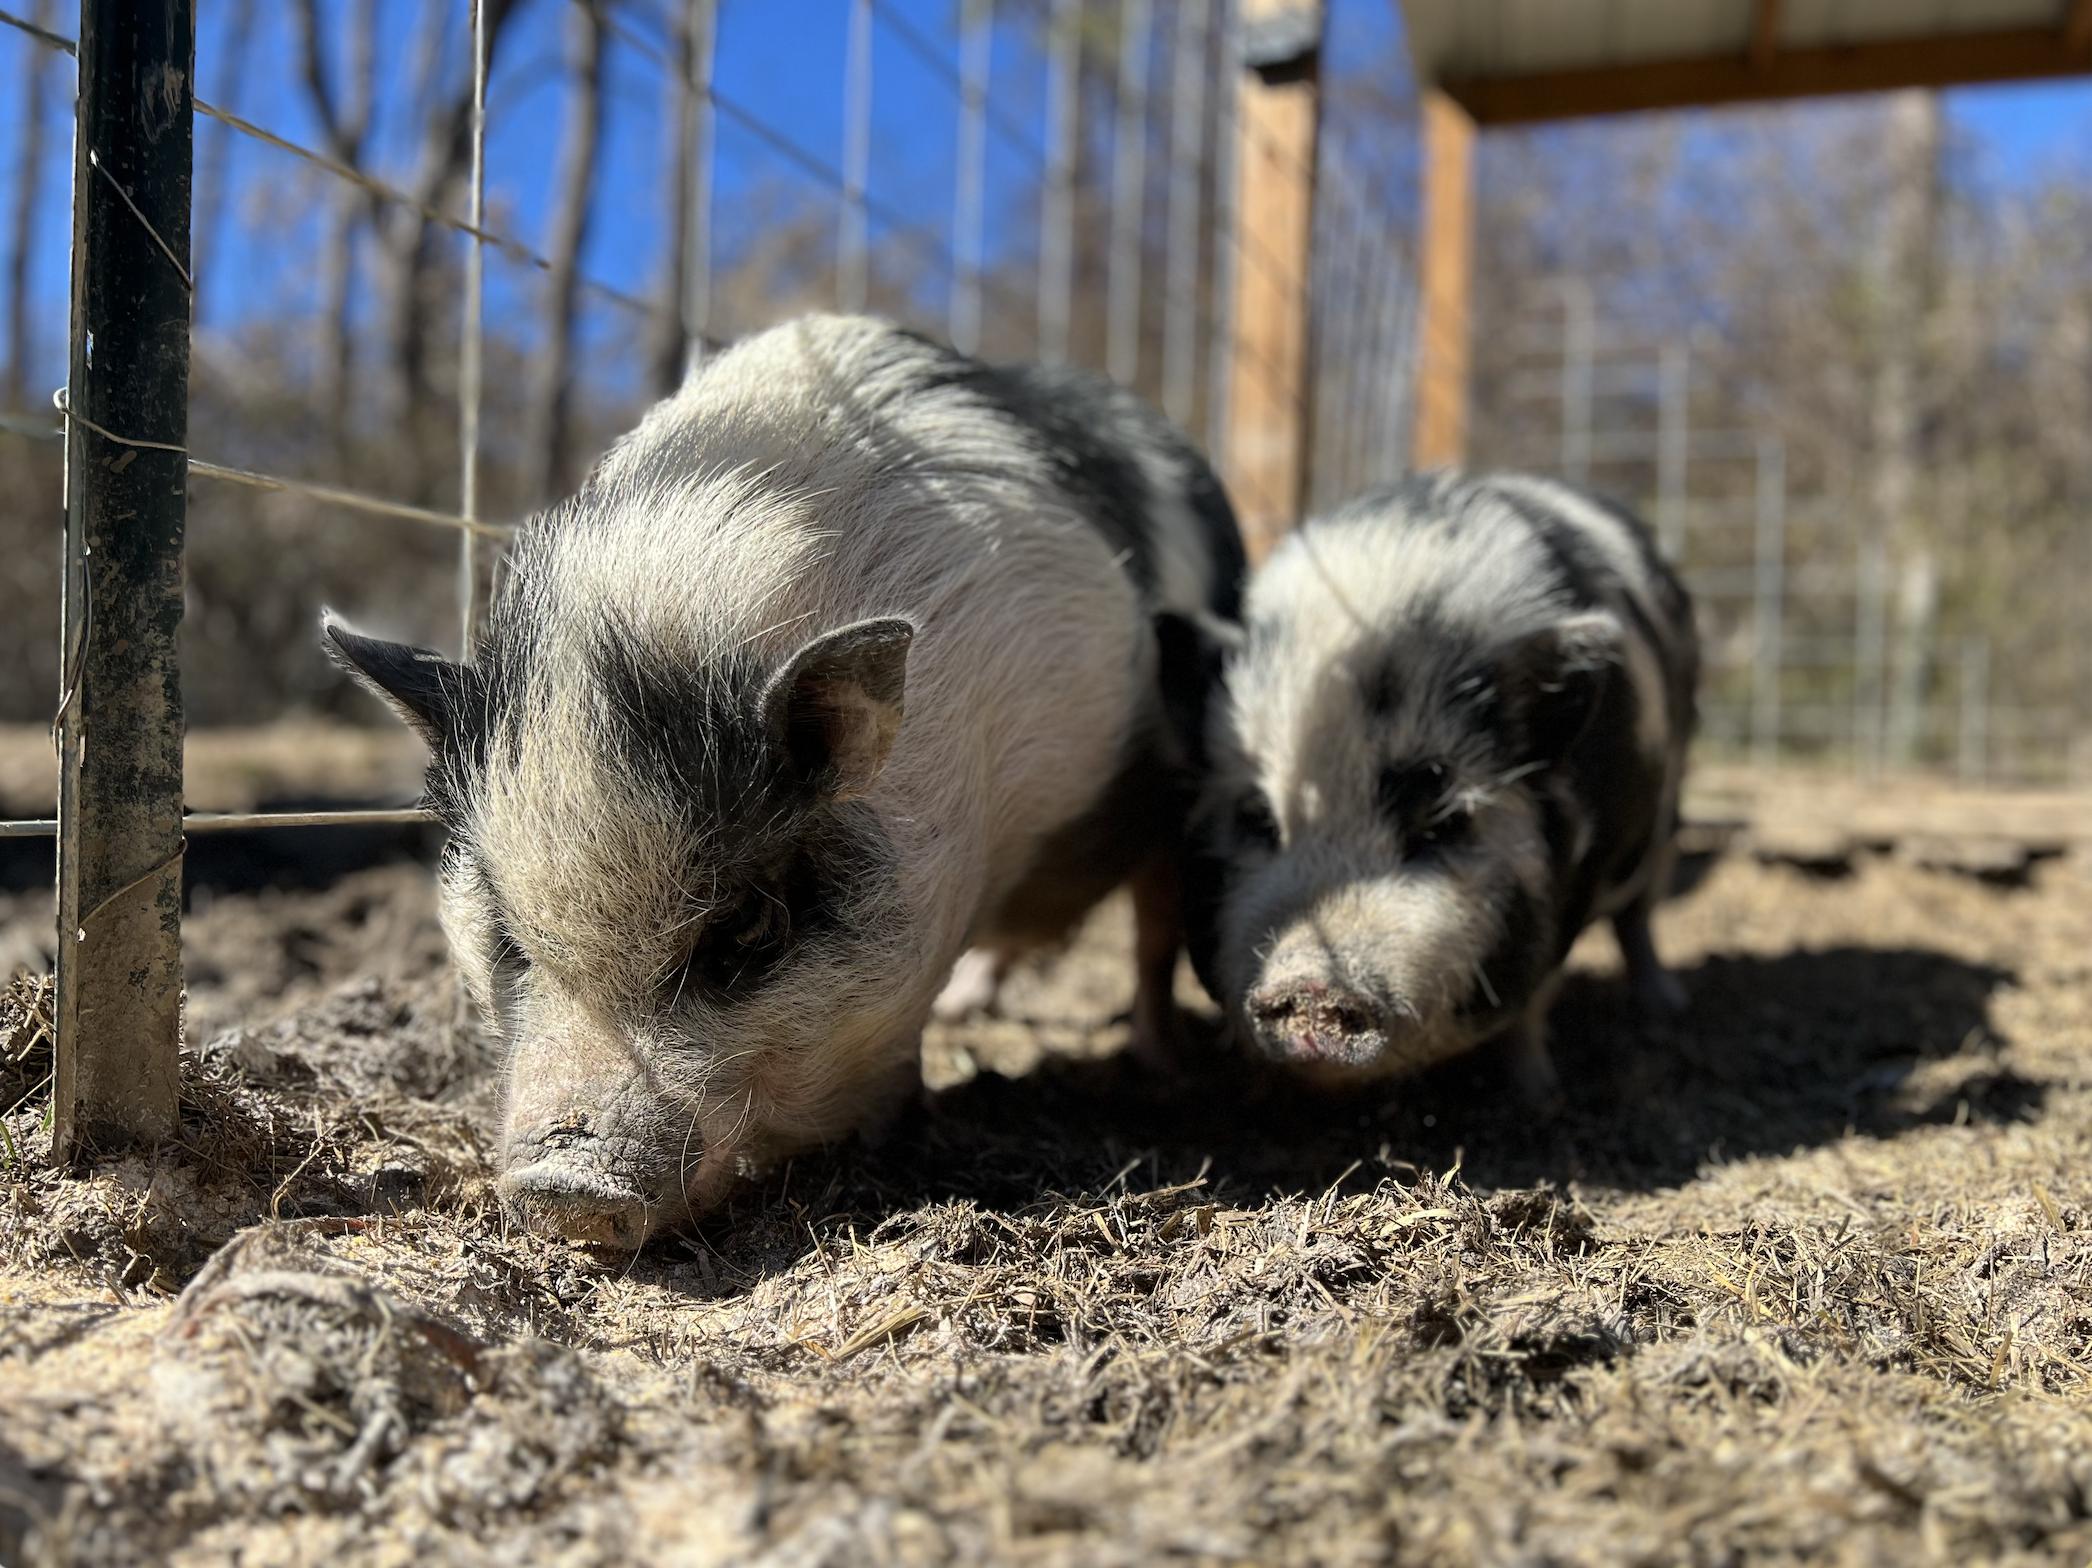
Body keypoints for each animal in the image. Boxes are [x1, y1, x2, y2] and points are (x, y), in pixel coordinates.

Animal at [1164, 471, 1696, 1099]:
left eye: (1444, 822)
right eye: (1258, 817)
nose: (1313, 986)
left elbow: (1533, 1001)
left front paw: (1536, 1097)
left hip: (1668, 812)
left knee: (1639, 914)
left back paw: (1664, 1008)